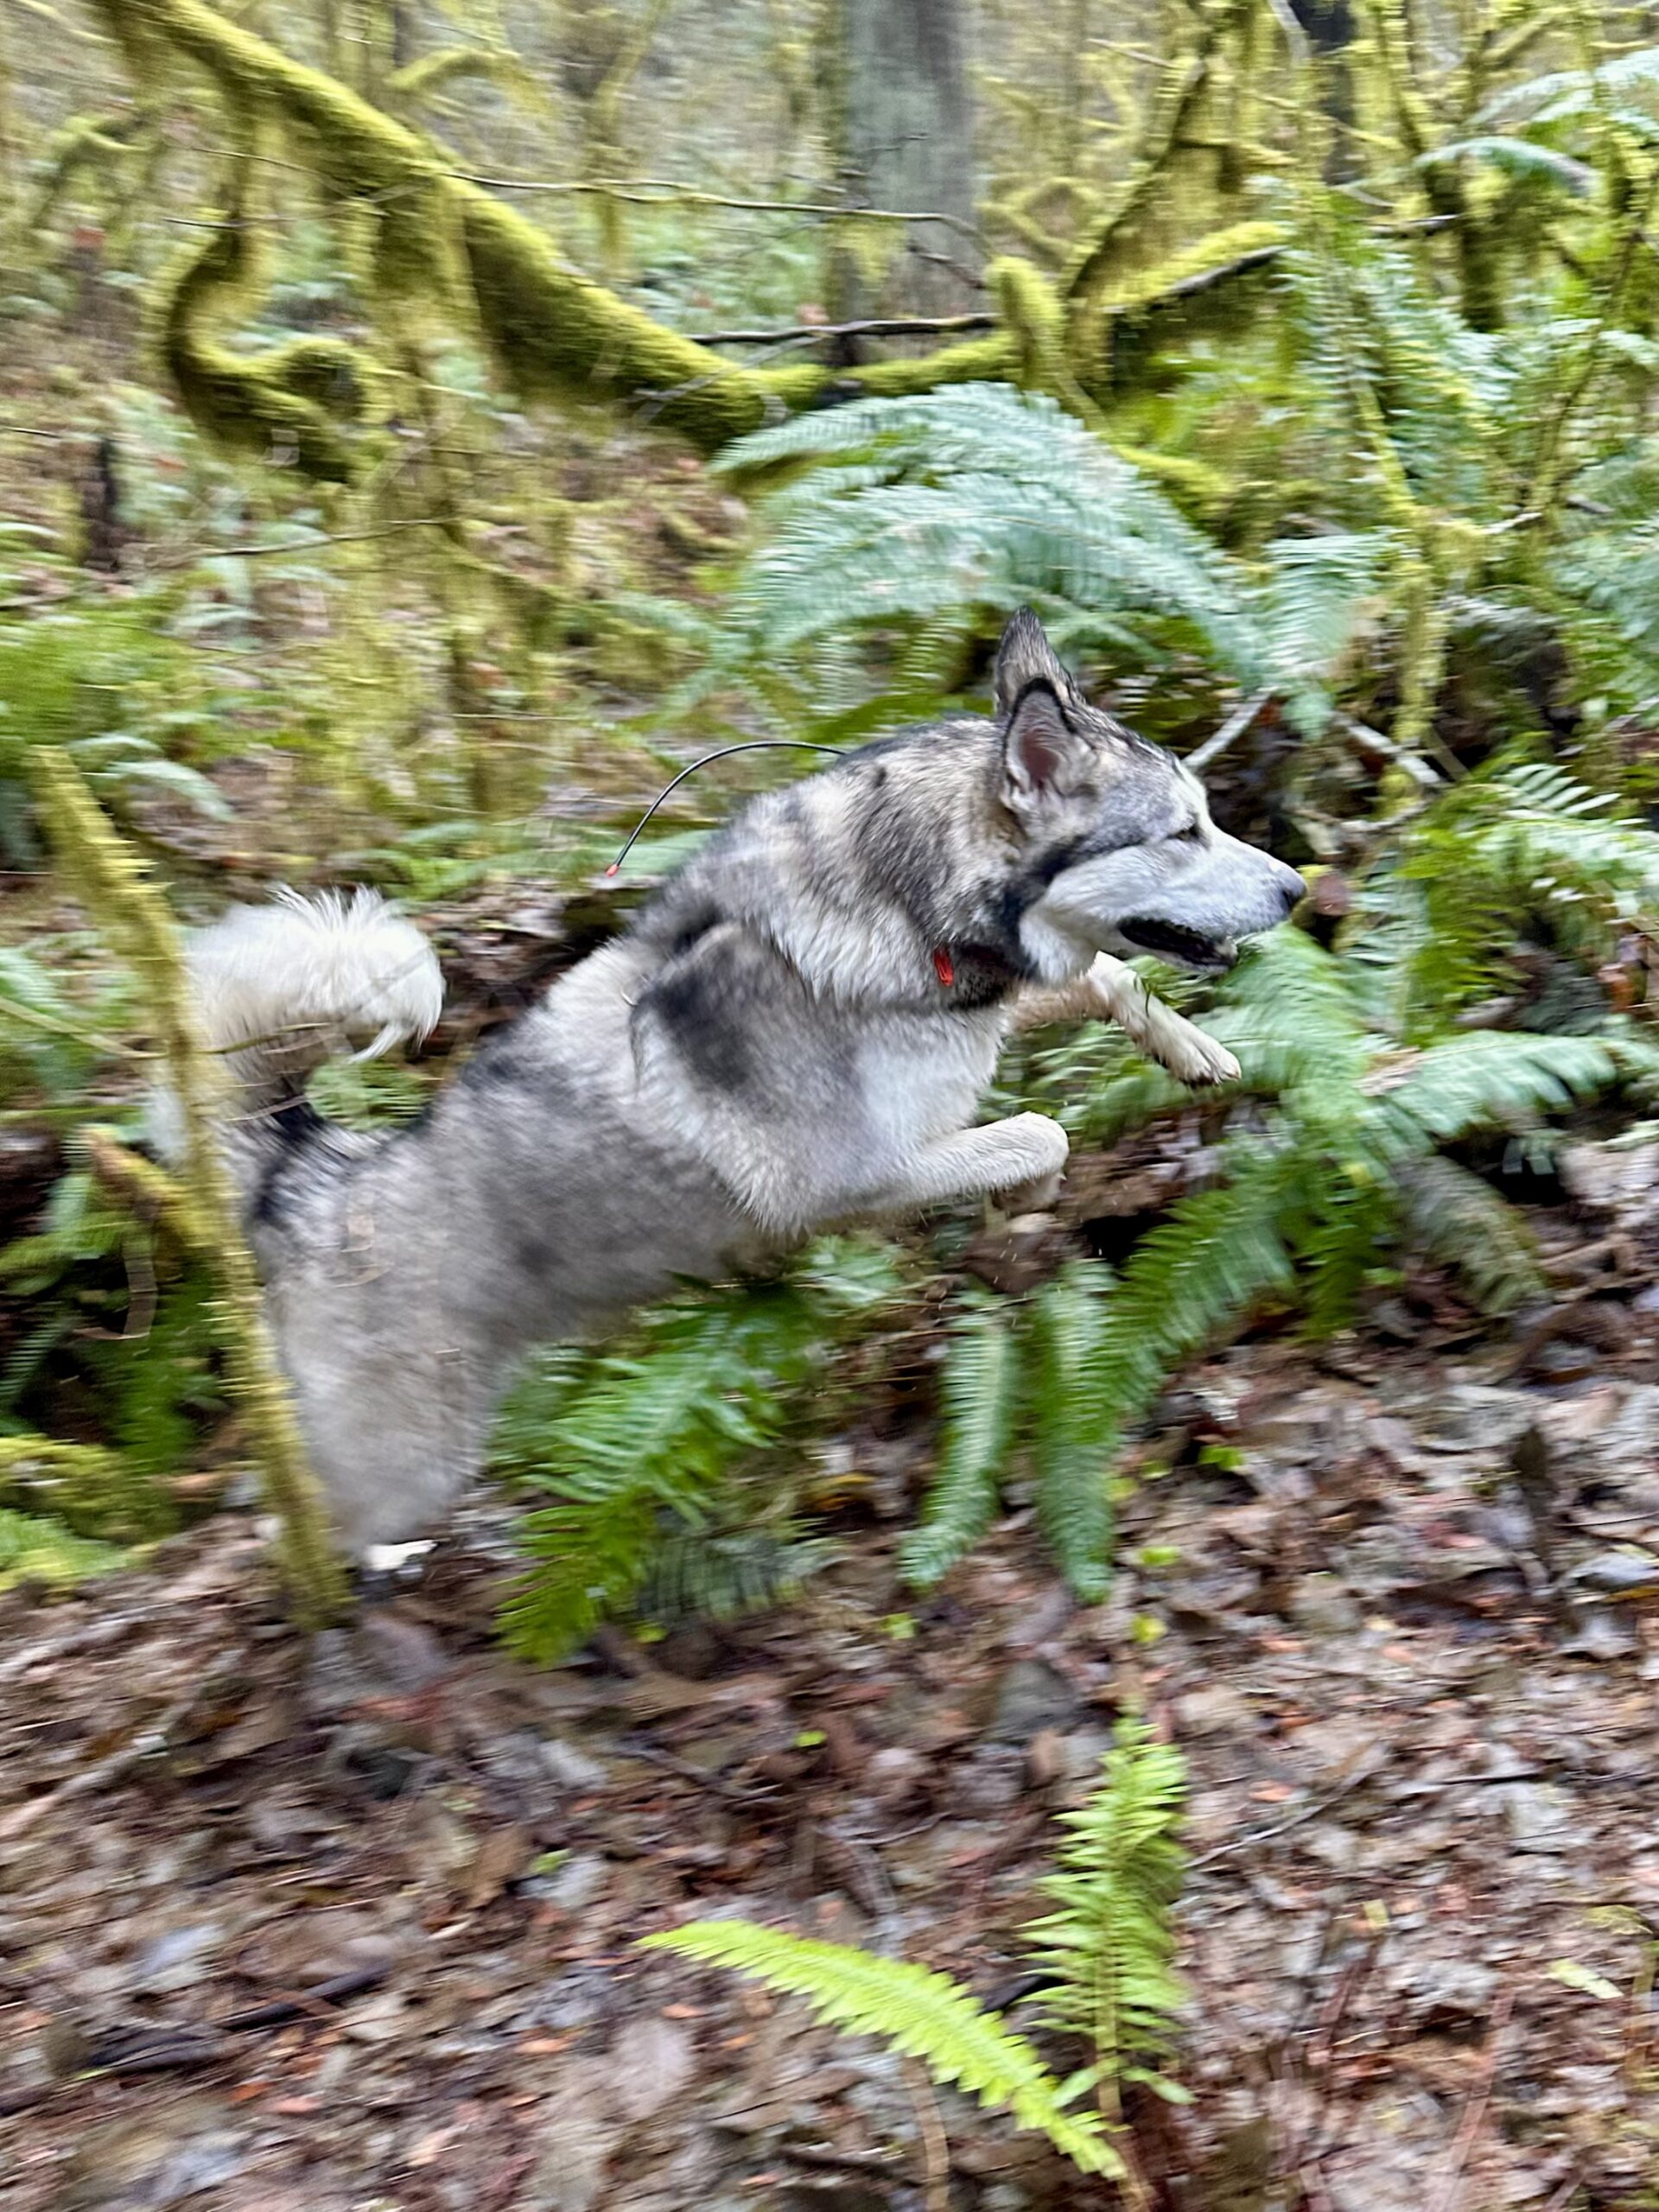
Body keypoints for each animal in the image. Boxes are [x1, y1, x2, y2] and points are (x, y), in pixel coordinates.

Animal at [179, 606, 1300, 1539]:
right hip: (402, 1466)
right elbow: (1043, 1131)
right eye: (1182, 832)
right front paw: (1024, 1204)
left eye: (1208, 814)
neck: (911, 916)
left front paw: (1192, 1049)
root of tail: (305, 1181)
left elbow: (1108, 981)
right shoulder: (847, 1182)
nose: (1296, 887)